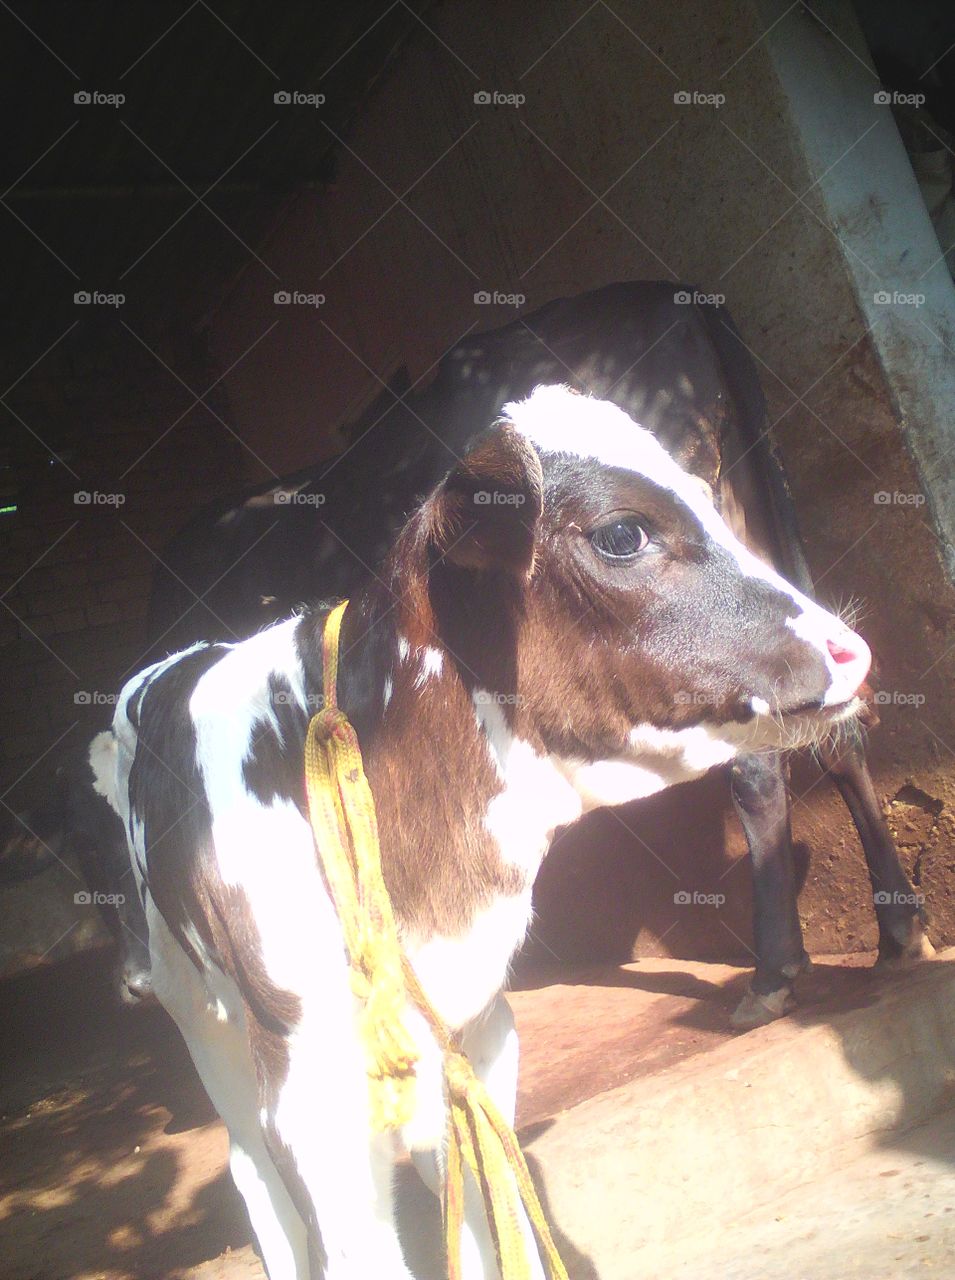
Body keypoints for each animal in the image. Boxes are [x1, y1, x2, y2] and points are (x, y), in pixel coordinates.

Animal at [91, 386, 875, 1279]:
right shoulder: (311, 1103)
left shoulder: (482, 1035)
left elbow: (492, 1214)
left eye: (710, 498)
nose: (851, 652)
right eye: (621, 534)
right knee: (248, 1168)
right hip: (199, 1012)